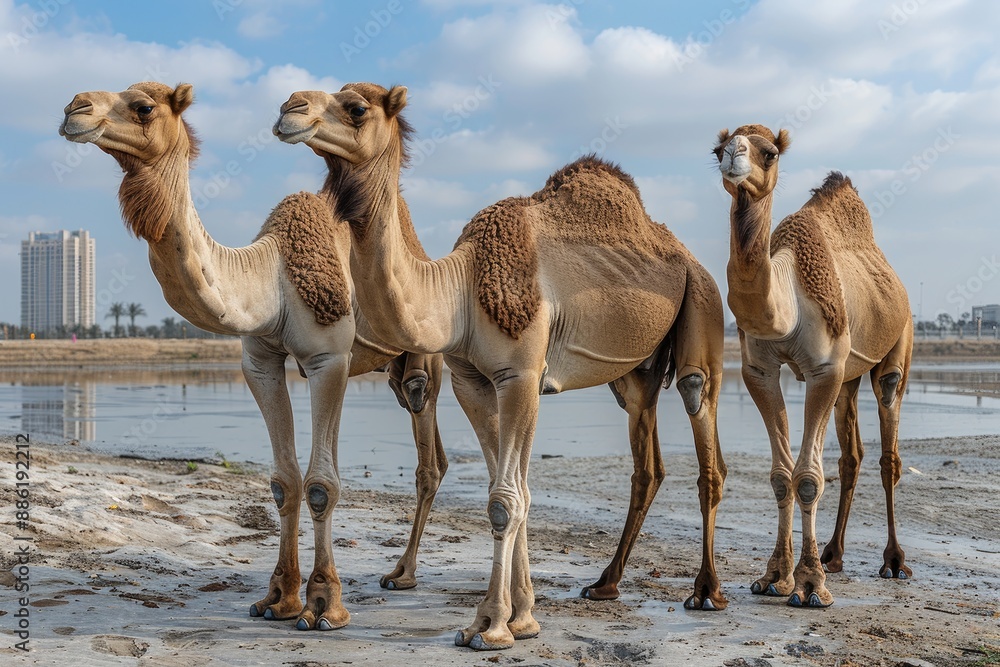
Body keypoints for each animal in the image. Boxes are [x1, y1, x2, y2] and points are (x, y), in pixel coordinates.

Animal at [59, 81, 451, 631]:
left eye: (143, 107)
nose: (75, 109)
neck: (274, 275)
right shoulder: (260, 360)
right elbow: (284, 481)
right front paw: (278, 599)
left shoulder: (328, 358)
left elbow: (320, 485)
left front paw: (323, 605)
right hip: (386, 368)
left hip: (424, 357)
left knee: (426, 449)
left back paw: (403, 574)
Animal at [273, 82, 728, 651]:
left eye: (356, 107)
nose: (289, 108)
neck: (460, 288)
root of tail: (682, 251)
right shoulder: (472, 381)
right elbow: (515, 490)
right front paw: (524, 616)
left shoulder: (522, 375)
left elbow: (505, 499)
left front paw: (489, 624)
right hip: (635, 372)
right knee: (647, 460)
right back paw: (605, 584)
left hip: (703, 301)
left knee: (700, 415)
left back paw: (706, 591)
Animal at [713, 124, 913, 607]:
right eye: (717, 149)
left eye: (768, 152)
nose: (732, 156)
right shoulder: (758, 371)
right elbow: (781, 476)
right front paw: (774, 576)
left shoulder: (823, 369)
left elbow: (807, 477)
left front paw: (808, 585)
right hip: (848, 376)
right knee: (851, 457)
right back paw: (834, 555)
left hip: (897, 345)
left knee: (889, 451)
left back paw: (893, 561)